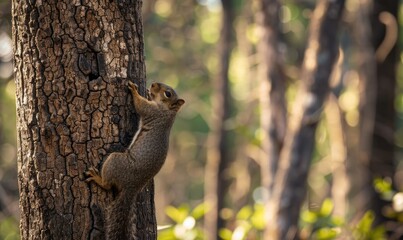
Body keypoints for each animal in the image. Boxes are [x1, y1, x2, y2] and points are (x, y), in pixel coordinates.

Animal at [87, 81, 186, 239]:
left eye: (168, 94)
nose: (153, 84)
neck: (168, 112)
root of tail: (132, 186)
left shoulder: (152, 111)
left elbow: (140, 105)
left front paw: (134, 90)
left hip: (115, 161)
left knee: (107, 185)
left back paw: (98, 178)